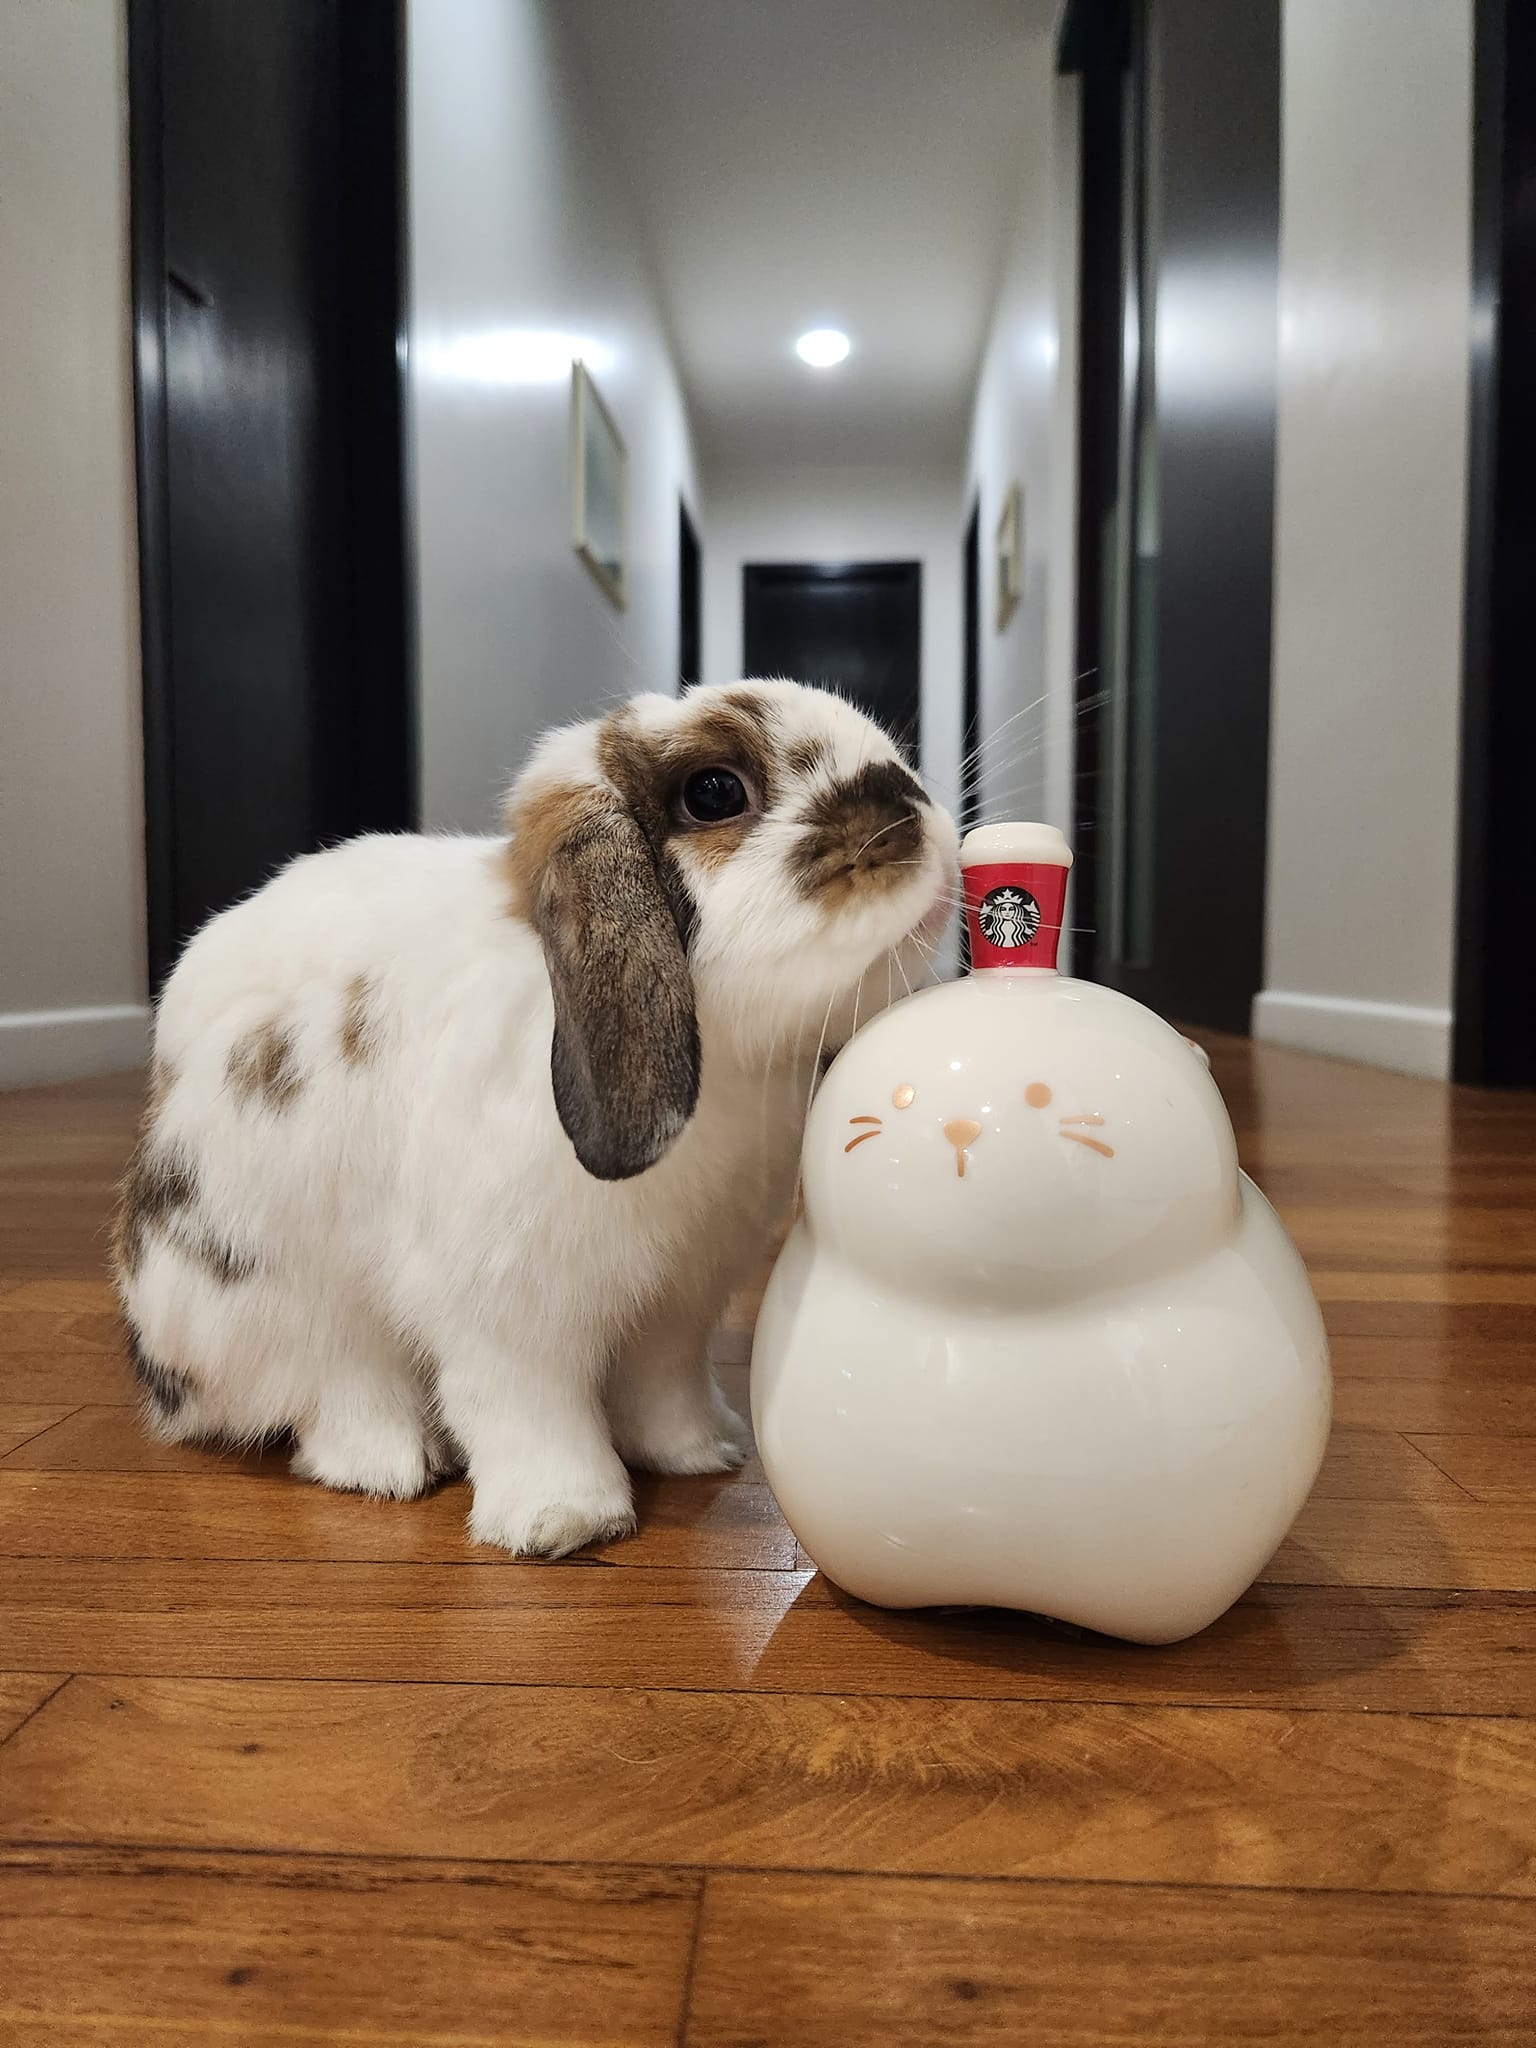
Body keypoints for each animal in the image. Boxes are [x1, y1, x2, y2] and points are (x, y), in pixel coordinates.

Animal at [112, 680, 960, 1558]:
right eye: (715, 792)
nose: (919, 822)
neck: (728, 1061)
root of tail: (162, 1371)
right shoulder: (509, 1302)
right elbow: (526, 1405)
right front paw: (564, 1519)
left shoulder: (680, 1299)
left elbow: (665, 1381)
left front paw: (700, 1451)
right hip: (279, 1287)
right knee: (332, 1388)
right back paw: (394, 1461)